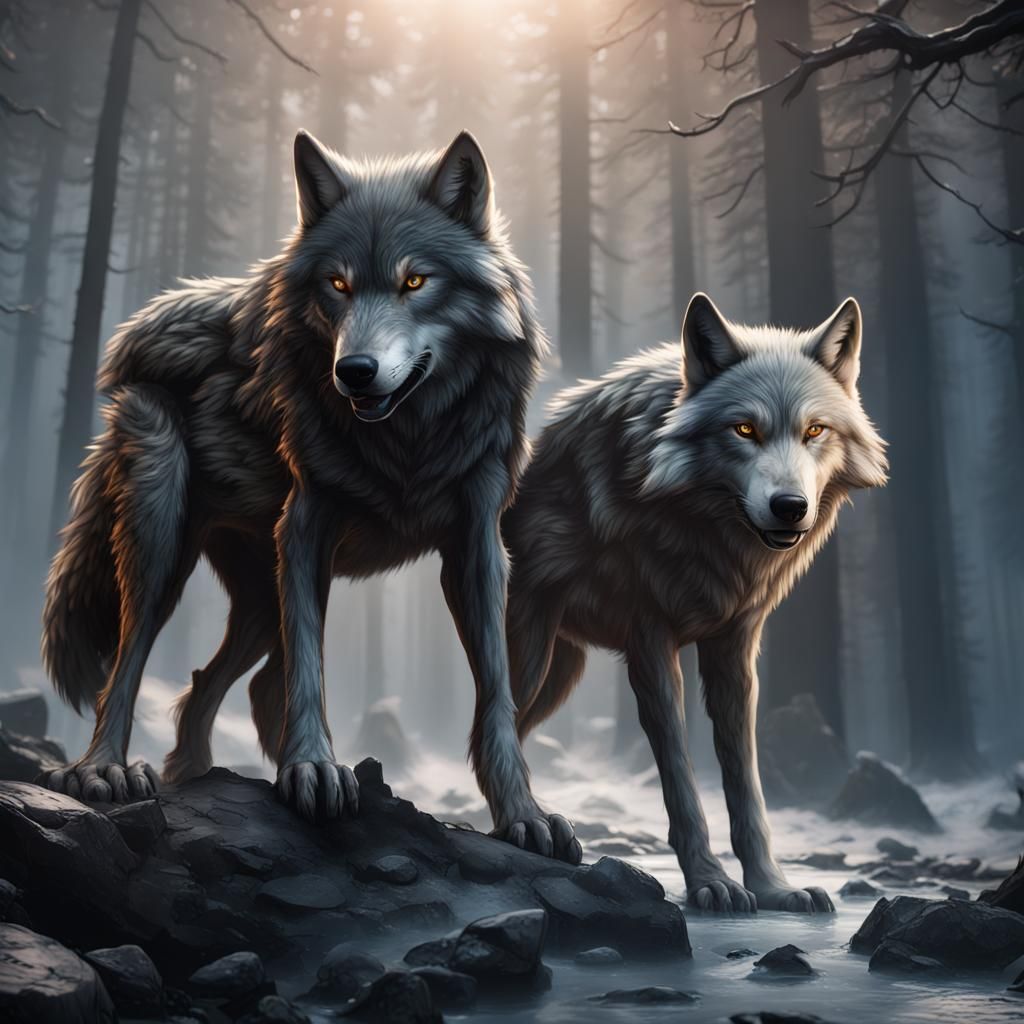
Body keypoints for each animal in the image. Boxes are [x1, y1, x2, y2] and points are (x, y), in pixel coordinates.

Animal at [41, 130, 567, 843]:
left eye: (415, 281)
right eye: (337, 284)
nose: (355, 371)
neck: (409, 441)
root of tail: (135, 334)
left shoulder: (477, 547)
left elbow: (497, 697)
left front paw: (522, 814)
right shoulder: (305, 527)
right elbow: (310, 669)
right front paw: (313, 769)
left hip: (260, 600)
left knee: (216, 682)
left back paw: (195, 773)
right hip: (164, 544)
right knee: (127, 664)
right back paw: (103, 770)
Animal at [502, 293, 887, 909]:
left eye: (815, 430)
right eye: (744, 428)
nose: (790, 507)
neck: (704, 525)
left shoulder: (736, 649)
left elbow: (747, 784)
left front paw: (773, 888)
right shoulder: (650, 645)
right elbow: (682, 780)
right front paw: (711, 882)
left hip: (563, 673)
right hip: (533, 655)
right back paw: (527, 825)